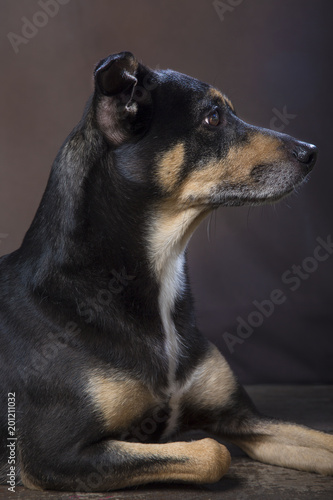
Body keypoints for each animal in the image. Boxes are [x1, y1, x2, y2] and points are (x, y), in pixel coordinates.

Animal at [0, 51, 332, 492]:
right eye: (213, 118)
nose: (312, 152)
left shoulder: (242, 418)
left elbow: (322, 440)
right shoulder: (54, 455)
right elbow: (215, 454)